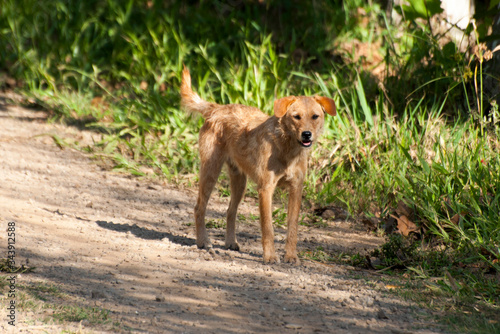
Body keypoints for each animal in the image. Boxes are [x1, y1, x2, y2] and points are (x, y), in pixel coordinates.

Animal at [180, 66, 336, 264]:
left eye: (315, 116)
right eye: (296, 117)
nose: (307, 134)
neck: (286, 148)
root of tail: (218, 108)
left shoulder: (296, 189)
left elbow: (292, 228)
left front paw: (290, 255)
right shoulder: (266, 189)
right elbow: (267, 228)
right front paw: (270, 256)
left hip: (239, 182)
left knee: (230, 211)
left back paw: (230, 242)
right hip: (210, 172)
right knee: (199, 208)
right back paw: (203, 241)